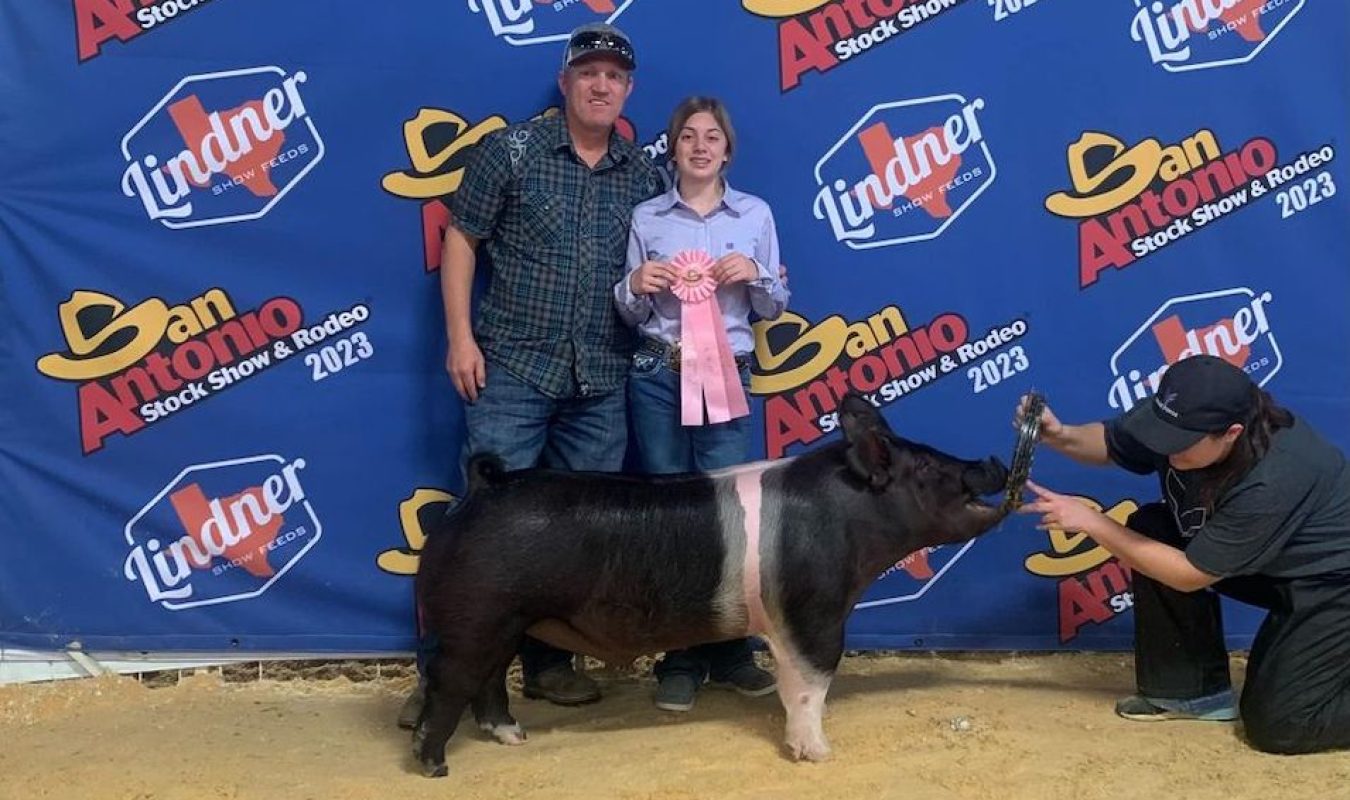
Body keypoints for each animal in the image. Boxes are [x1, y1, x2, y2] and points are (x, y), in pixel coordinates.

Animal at [415, 391, 1009, 771]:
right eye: (928, 468)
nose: (993, 460)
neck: (850, 517)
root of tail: (483, 489)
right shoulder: (812, 612)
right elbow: (809, 686)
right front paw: (818, 755)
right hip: (476, 614)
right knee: (449, 681)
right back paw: (434, 764)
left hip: (505, 622)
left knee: (488, 679)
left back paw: (512, 737)